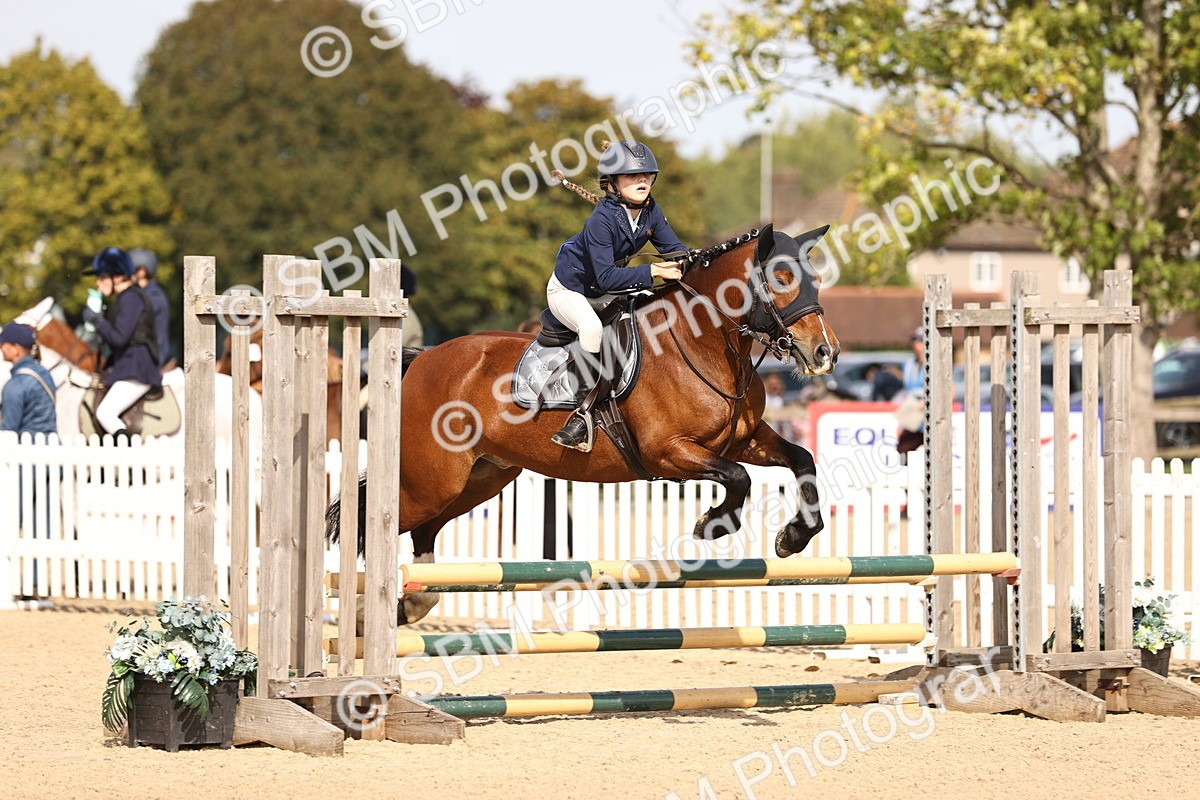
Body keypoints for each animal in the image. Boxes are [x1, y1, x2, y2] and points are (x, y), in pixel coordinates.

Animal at [328, 224, 841, 624]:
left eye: (815, 279)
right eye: (781, 277)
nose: (826, 353)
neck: (704, 344)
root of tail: (421, 359)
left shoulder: (744, 440)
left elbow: (801, 460)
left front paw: (793, 538)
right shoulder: (668, 452)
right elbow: (738, 479)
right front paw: (710, 525)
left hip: (480, 478)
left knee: (424, 533)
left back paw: (411, 606)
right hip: (431, 481)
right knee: (378, 523)